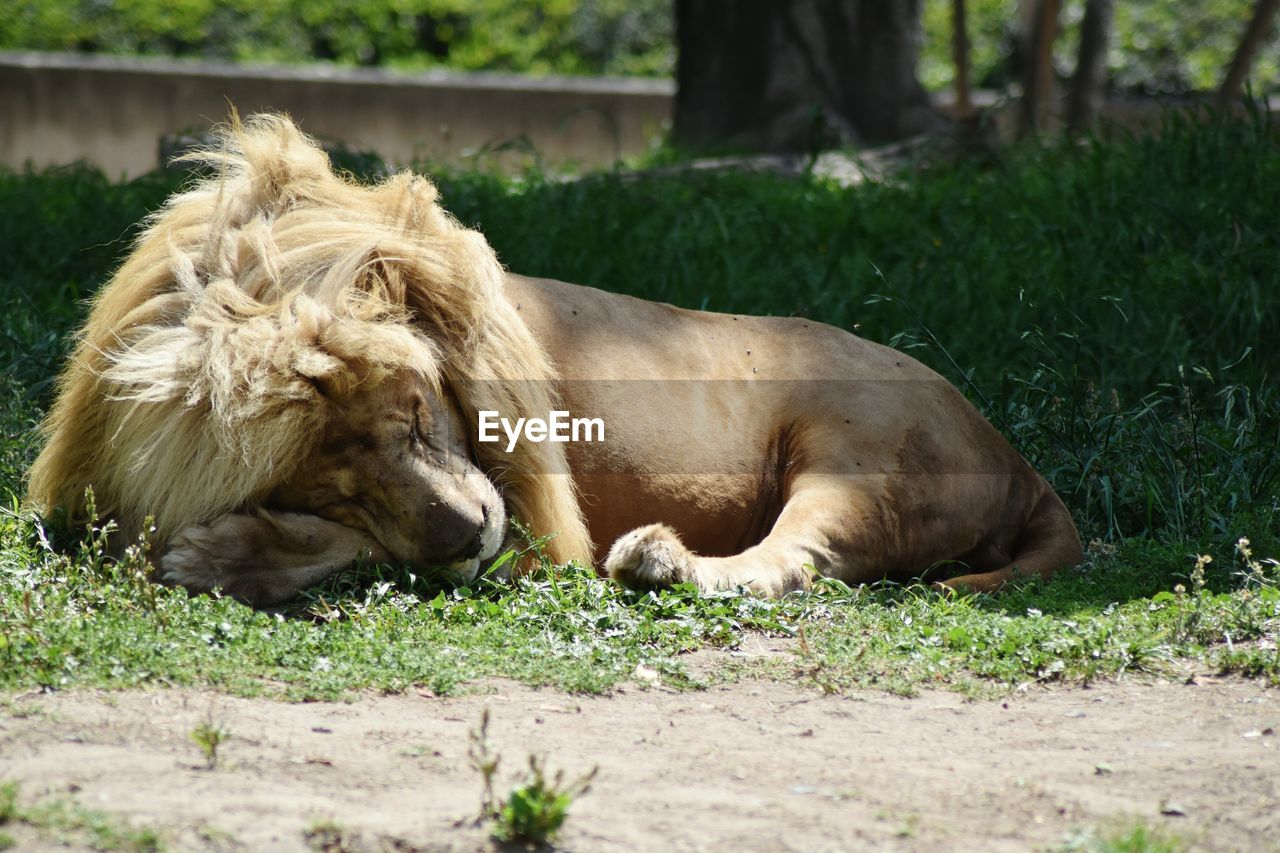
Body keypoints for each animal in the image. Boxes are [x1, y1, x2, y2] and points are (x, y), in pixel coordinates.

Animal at [24, 114, 1080, 604]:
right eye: (329, 485)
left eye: (417, 414)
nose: (461, 529)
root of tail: (1021, 462)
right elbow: (381, 542)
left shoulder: (537, 529)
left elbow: (385, 553)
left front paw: (220, 554)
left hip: (857, 452)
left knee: (793, 560)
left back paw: (658, 559)